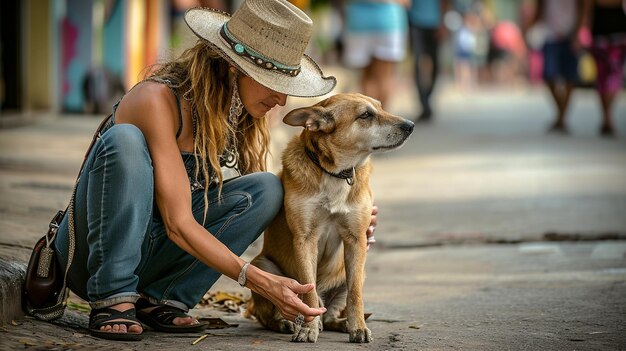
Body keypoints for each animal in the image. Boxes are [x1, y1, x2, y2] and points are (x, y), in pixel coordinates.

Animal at [246, 93, 412, 344]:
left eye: (381, 107)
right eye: (366, 115)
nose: (410, 126)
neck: (335, 173)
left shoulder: (356, 239)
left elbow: (355, 295)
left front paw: (358, 328)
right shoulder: (305, 240)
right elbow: (309, 291)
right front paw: (308, 328)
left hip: (350, 274)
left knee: (332, 313)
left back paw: (342, 323)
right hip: (262, 265)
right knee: (267, 313)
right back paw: (287, 322)